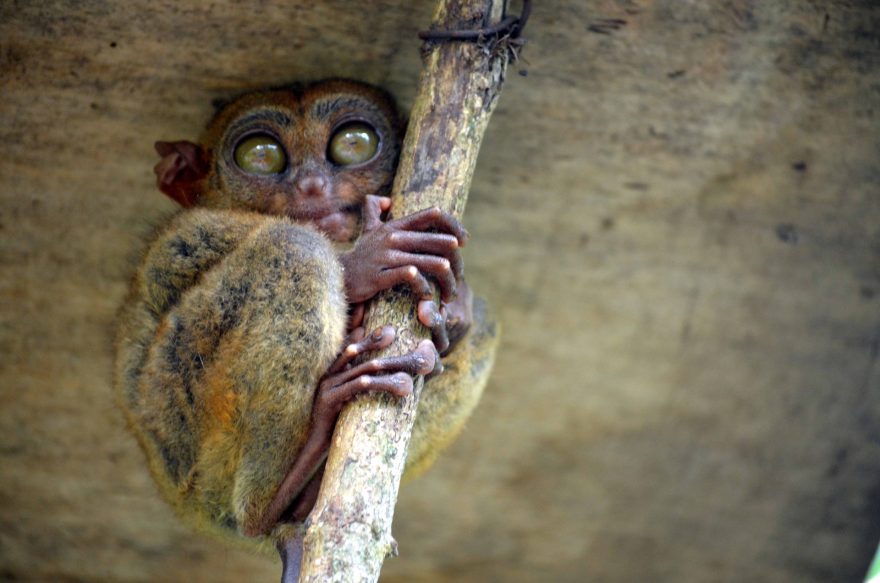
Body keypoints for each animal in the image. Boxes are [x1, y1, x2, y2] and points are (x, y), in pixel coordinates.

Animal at [114, 79, 498, 553]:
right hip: (187, 430)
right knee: (296, 247)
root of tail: (191, 508)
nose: (312, 186)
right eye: (261, 156)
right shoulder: (183, 232)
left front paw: (454, 309)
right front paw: (370, 259)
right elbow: (175, 258)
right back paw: (276, 492)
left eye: (353, 144)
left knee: (485, 320)